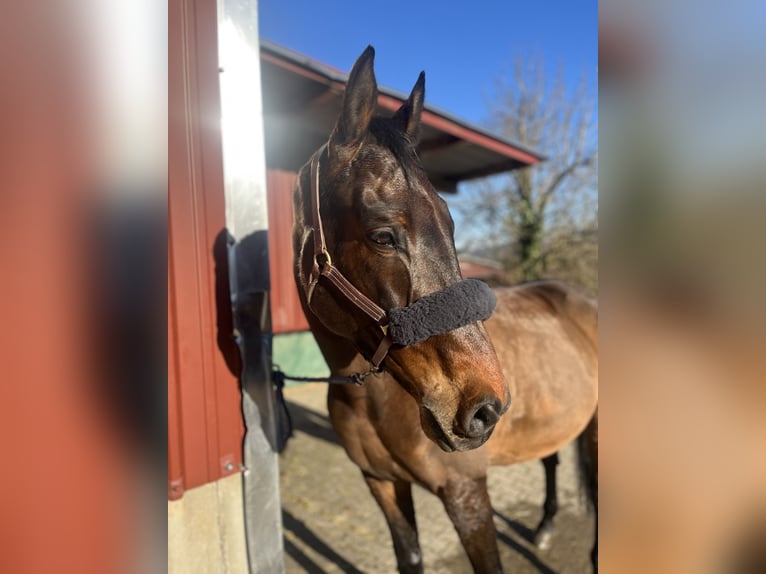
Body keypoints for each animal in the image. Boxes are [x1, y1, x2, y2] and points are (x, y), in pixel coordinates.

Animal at [291, 46, 598, 573]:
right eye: (382, 235)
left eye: (452, 225)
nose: (487, 409)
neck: (371, 395)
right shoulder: (382, 484)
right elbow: (409, 557)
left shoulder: (465, 493)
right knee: (552, 457)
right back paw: (544, 526)